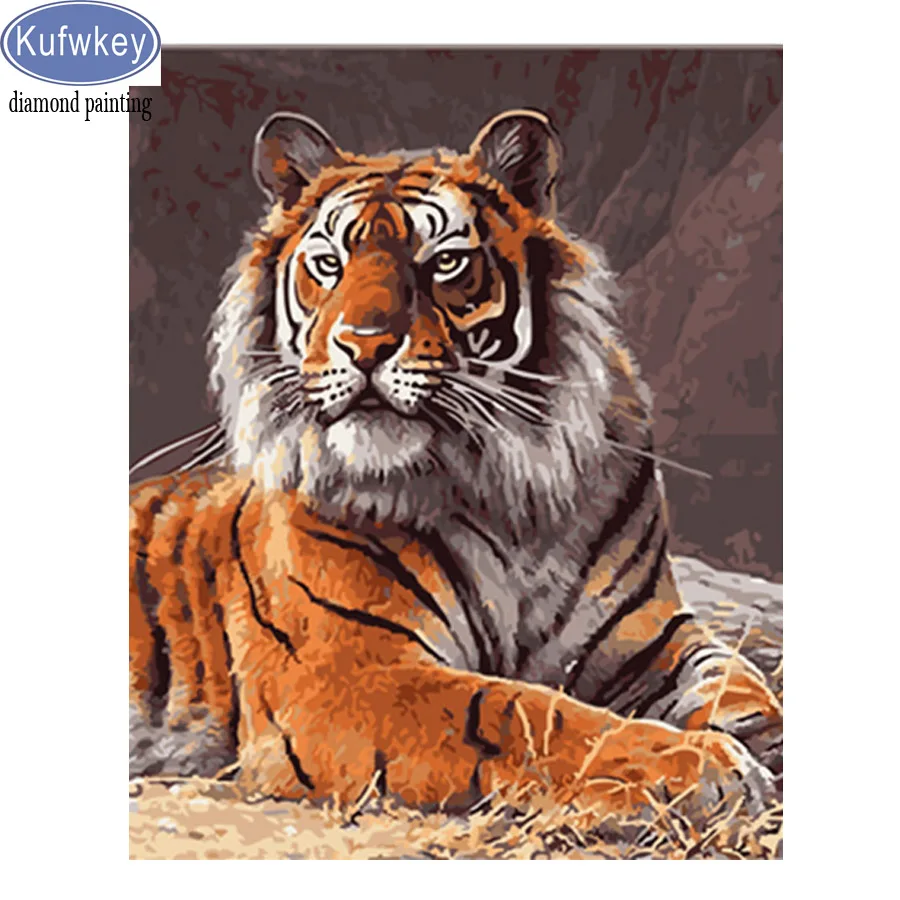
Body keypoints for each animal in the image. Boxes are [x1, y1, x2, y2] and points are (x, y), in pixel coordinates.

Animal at [130, 108, 782, 827]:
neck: (512, 494)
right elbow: (524, 712)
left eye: (444, 263)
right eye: (328, 265)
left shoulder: (648, 635)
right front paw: (702, 766)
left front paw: (753, 744)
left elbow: (738, 682)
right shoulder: (348, 676)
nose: (363, 346)